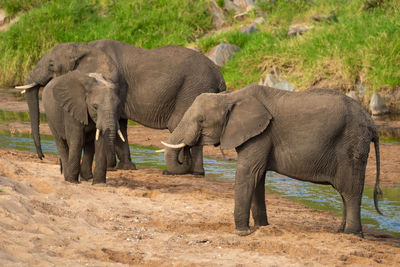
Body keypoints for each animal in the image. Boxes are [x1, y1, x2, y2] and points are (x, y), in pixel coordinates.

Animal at [15, 38, 225, 175]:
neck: (83, 46)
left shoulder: (111, 82)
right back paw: (192, 170)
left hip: (193, 88)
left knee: (181, 126)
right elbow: (120, 125)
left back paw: (188, 172)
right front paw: (125, 167)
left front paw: (110, 167)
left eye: (51, 65)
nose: (42, 157)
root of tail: (219, 74)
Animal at [161, 85, 382, 238]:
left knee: (350, 191)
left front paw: (243, 232)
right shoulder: (259, 135)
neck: (231, 97)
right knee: (345, 193)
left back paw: (351, 235)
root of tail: (372, 124)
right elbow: (257, 178)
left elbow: (248, 173)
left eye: (200, 121)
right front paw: (261, 228)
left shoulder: (260, 134)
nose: (186, 151)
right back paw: (339, 232)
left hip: (352, 145)